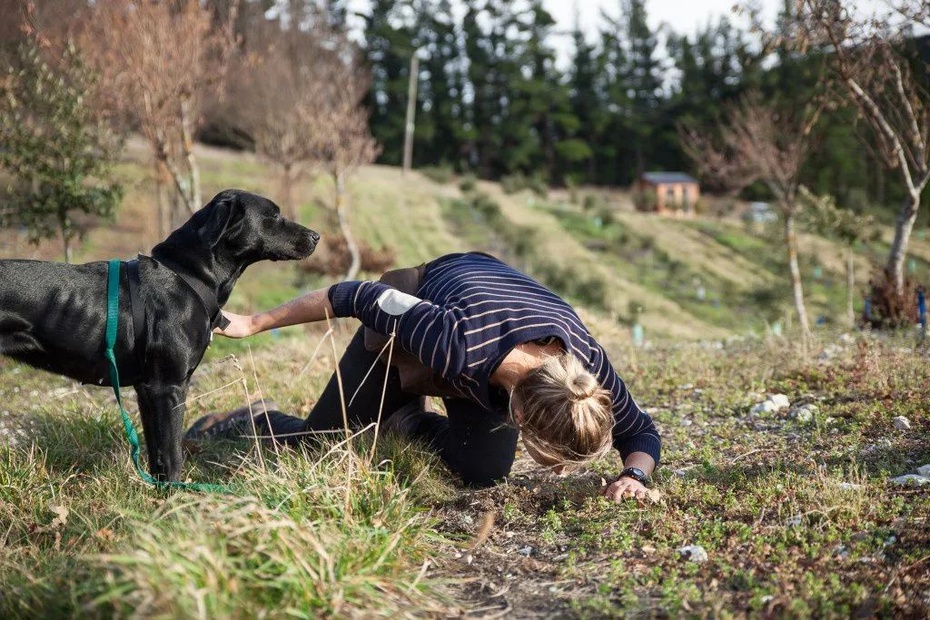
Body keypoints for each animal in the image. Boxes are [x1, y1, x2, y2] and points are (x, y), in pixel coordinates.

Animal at [0, 189, 320, 480]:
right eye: (274, 215)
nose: (316, 236)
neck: (189, 276)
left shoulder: (146, 390)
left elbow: (157, 457)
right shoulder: (169, 387)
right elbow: (173, 453)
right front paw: (178, 498)